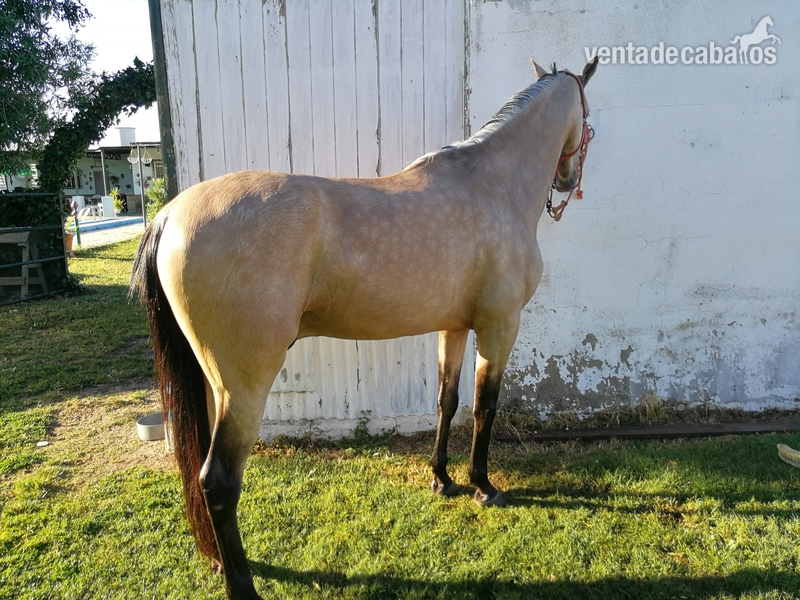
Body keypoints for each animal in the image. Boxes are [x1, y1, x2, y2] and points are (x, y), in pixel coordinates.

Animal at [131, 56, 599, 600]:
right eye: (587, 118)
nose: (566, 180)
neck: (493, 184)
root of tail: (169, 214)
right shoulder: (499, 326)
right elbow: (485, 407)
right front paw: (484, 486)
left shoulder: (454, 327)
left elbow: (447, 401)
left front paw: (443, 479)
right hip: (244, 385)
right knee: (219, 481)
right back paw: (243, 584)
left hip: (213, 383)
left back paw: (216, 559)